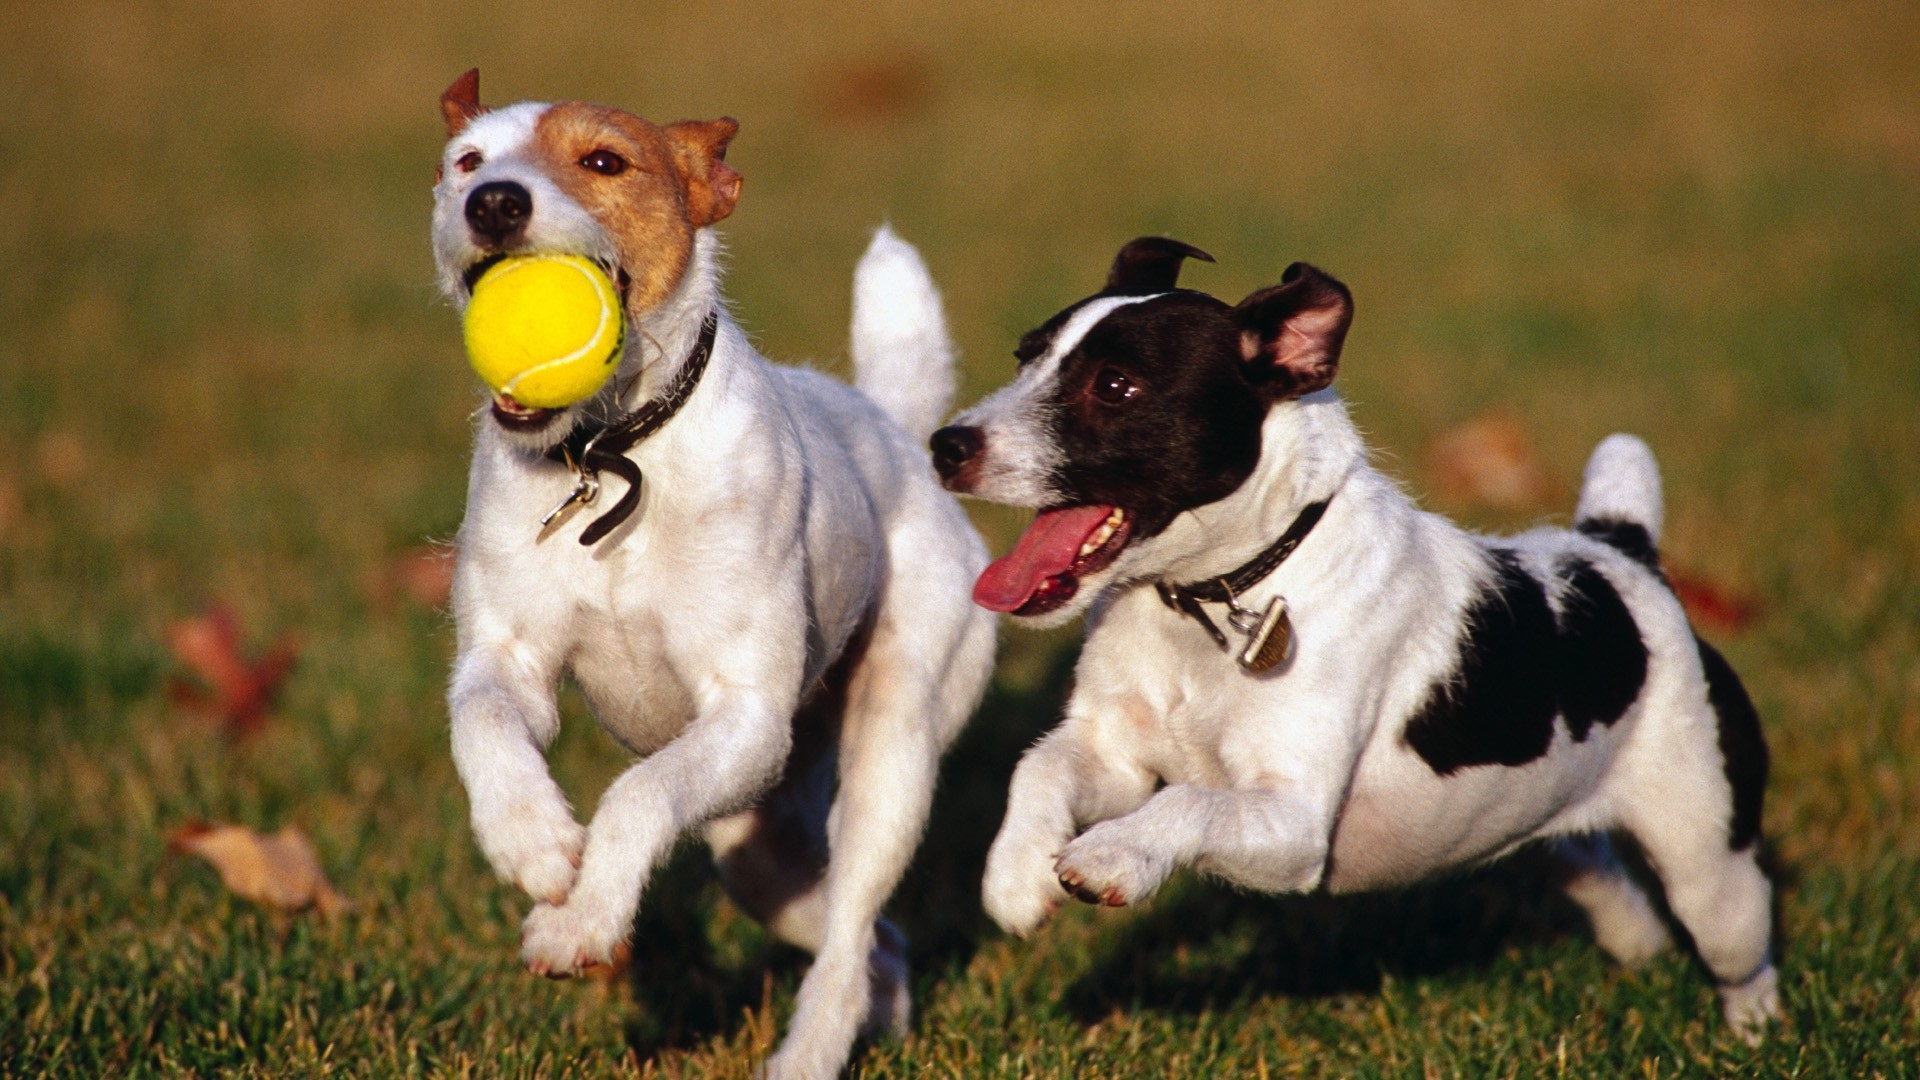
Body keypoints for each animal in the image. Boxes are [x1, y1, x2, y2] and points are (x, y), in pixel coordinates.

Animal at [430, 71, 998, 1068]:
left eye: (605, 161)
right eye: (466, 161)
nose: (493, 201)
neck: (613, 454)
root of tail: (893, 428)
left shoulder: (745, 715)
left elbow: (637, 796)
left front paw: (580, 922)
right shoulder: (510, 657)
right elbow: (487, 724)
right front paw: (532, 843)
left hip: (891, 752)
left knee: (852, 928)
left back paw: (808, 1056)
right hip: (757, 841)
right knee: (870, 941)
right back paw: (883, 1013)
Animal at [936, 239, 1774, 1037]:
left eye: (1115, 385)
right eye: (1025, 357)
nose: (946, 445)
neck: (1217, 597)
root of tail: (1621, 552)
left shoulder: (1293, 823)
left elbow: (1189, 803)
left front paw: (1111, 856)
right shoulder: (1116, 758)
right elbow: (1038, 768)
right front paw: (1014, 876)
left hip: (1707, 859)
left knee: (1739, 946)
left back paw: (1753, 1031)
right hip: (1544, 816)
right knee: (1597, 865)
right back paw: (1639, 944)